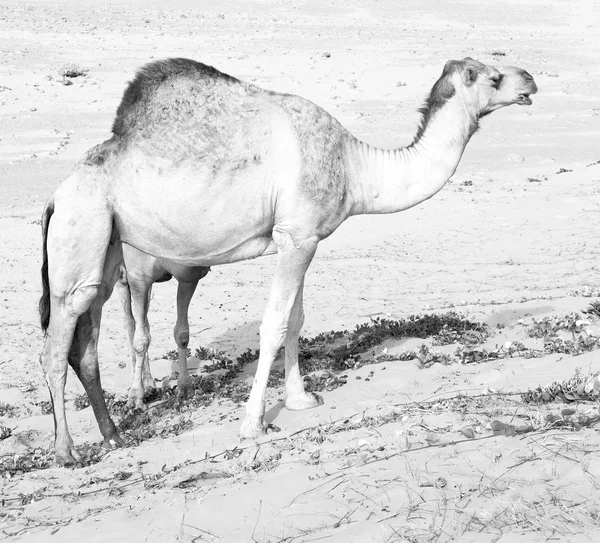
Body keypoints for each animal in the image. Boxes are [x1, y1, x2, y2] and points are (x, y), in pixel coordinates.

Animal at [118, 246, 211, 408]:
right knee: (130, 320)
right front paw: (135, 397)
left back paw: (149, 385)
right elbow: (141, 340)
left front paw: (185, 388)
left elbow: (182, 333)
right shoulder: (138, 276)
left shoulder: (187, 276)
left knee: (143, 322)